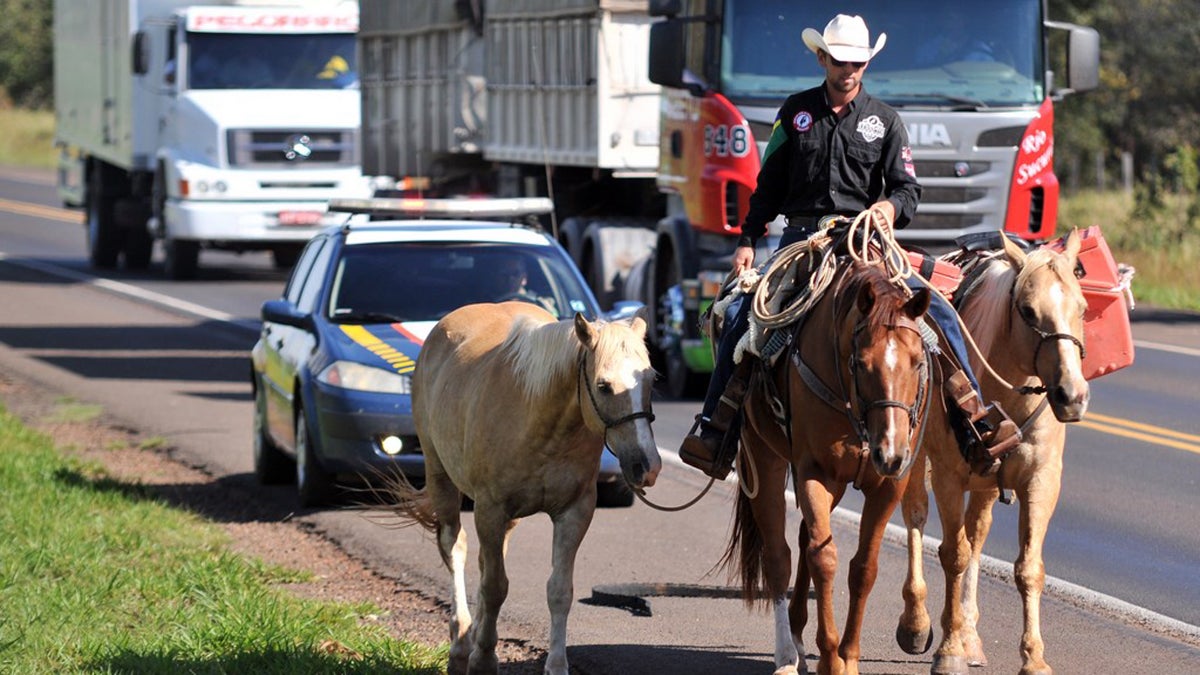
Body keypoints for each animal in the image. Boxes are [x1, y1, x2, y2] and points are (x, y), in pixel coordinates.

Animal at [391, 300, 657, 672]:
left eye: (650, 379)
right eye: (604, 386)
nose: (646, 466)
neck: (541, 421)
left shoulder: (574, 512)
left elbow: (558, 590)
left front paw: (556, 664)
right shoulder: (489, 509)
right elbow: (495, 587)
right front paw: (483, 658)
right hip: (441, 477)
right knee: (454, 548)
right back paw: (461, 645)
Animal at [720, 257, 936, 672]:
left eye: (918, 362)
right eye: (861, 364)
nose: (891, 453)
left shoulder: (888, 486)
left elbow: (863, 567)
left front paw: (848, 656)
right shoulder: (814, 473)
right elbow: (825, 559)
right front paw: (831, 657)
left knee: (806, 537)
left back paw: (799, 635)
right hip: (763, 456)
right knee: (779, 555)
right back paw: (787, 653)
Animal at [897, 228, 1094, 667]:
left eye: (1083, 307)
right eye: (1028, 310)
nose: (1072, 396)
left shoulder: (1041, 480)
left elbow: (1028, 568)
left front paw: (1033, 658)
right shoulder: (949, 477)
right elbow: (953, 554)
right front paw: (948, 649)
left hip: (987, 483)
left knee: (977, 533)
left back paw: (971, 635)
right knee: (916, 515)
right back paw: (916, 623)